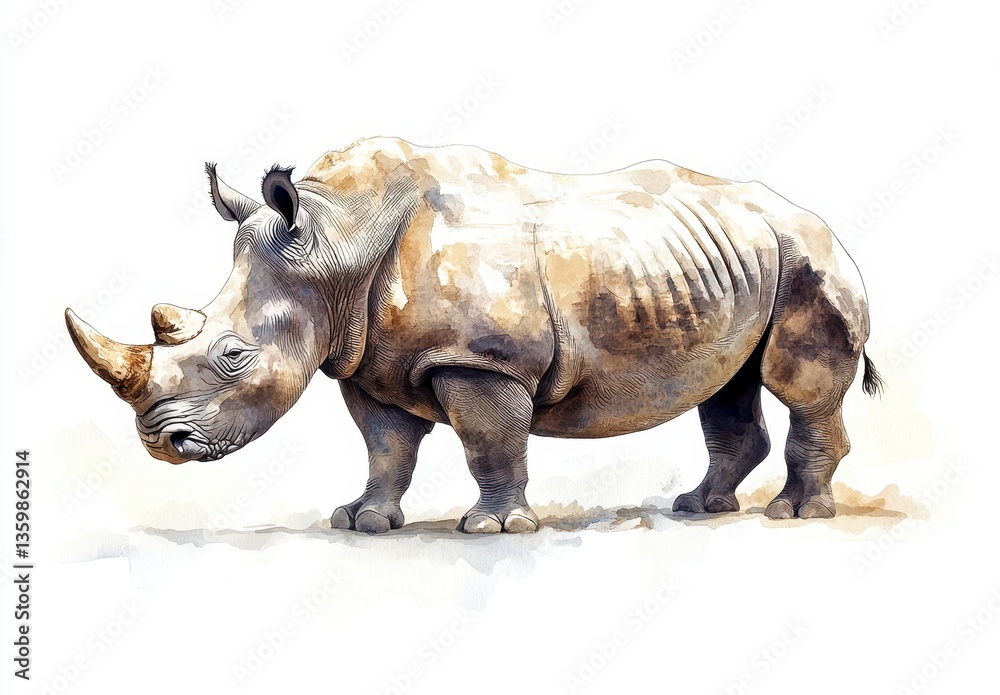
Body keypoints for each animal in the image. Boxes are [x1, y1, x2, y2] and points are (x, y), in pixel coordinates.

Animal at [66, 137, 882, 534]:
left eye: (233, 356)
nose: (157, 443)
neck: (334, 245)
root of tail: (816, 217)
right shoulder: (366, 358)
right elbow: (386, 447)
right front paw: (362, 521)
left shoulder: (483, 361)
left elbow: (490, 441)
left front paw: (491, 527)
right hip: (736, 260)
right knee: (729, 384)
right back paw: (699, 507)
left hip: (809, 256)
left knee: (797, 385)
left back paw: (794, 515)